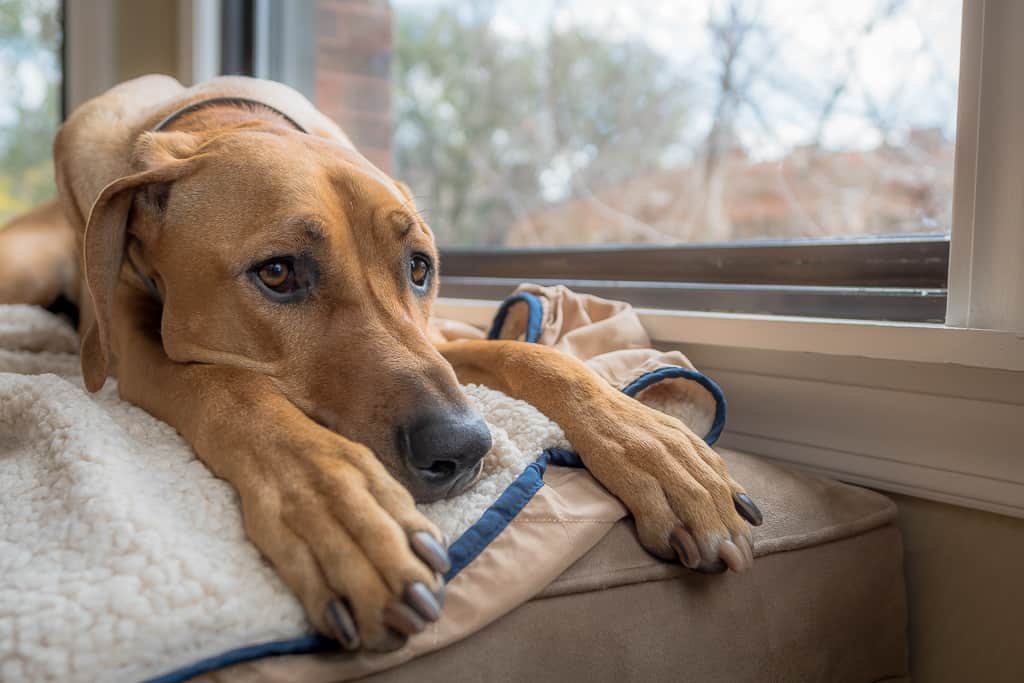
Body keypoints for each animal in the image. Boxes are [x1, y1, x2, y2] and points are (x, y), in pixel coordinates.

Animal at [2, 74, 761, 651]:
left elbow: (524, 353)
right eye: (277, 272)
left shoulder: (434, 339)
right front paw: (341, 508)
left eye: (420, 268)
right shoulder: (132, 348)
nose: (464, 446)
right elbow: (230, 387)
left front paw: (655, 445)